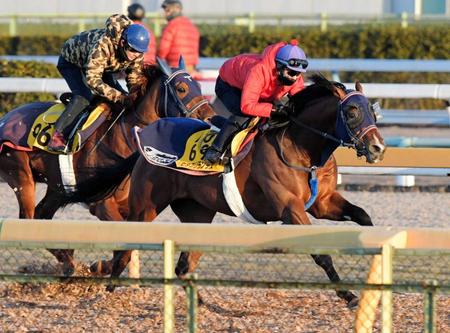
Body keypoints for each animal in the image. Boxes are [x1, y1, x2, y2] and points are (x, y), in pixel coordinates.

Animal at [0, 58, 214, 274]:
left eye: (199, 86)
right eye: (181, 88)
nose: (210, 118)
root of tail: (6, 117)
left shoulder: (134, 209)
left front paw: (100, 266)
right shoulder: (103, 205)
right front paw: (100, 266)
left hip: (57, 188)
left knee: (41, 216)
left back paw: (71, 261)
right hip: (20, 173)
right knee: (27, 218)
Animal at [103, 74, 386, 306]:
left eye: (372, 111)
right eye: (351, 111)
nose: (378, 148)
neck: (302, 149)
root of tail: (143, 138)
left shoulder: (323, 202)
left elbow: (362, 216)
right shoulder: (289, 208)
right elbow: (321, 255)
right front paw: (348, 295)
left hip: (197, 214)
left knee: (183, 266)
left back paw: (203, 304)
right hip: (146, 207)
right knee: (124, 252)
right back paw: (107, 292)